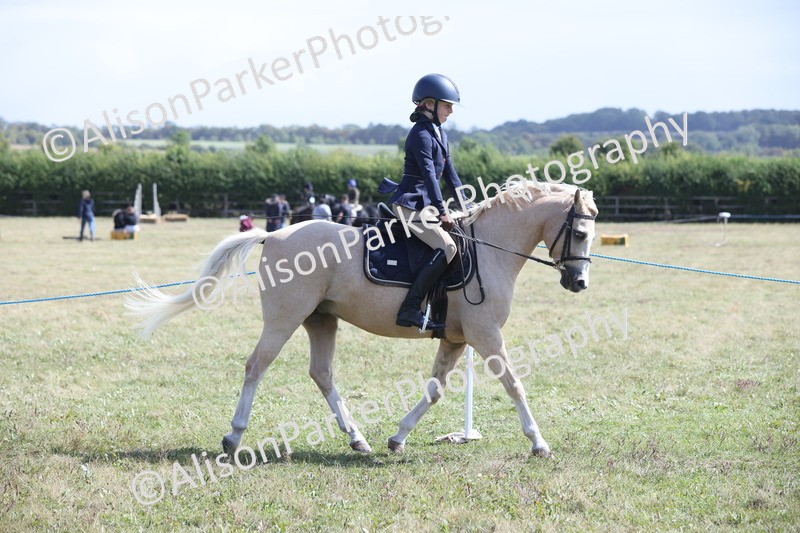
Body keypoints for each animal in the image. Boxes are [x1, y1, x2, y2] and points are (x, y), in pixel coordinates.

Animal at [126, 181, 598, 458]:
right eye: (579, 232)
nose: (579, 282)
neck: (489, 249)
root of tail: (273, 234)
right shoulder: (486, 335)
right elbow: (514, 383)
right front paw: (539, 442)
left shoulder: (456, 338)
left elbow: (435, 390)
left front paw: (398, 436)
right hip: (284, 319)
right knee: (256, 366)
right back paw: (233, 436)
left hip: (320, 320)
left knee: (321, 374)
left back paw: (358, 439)